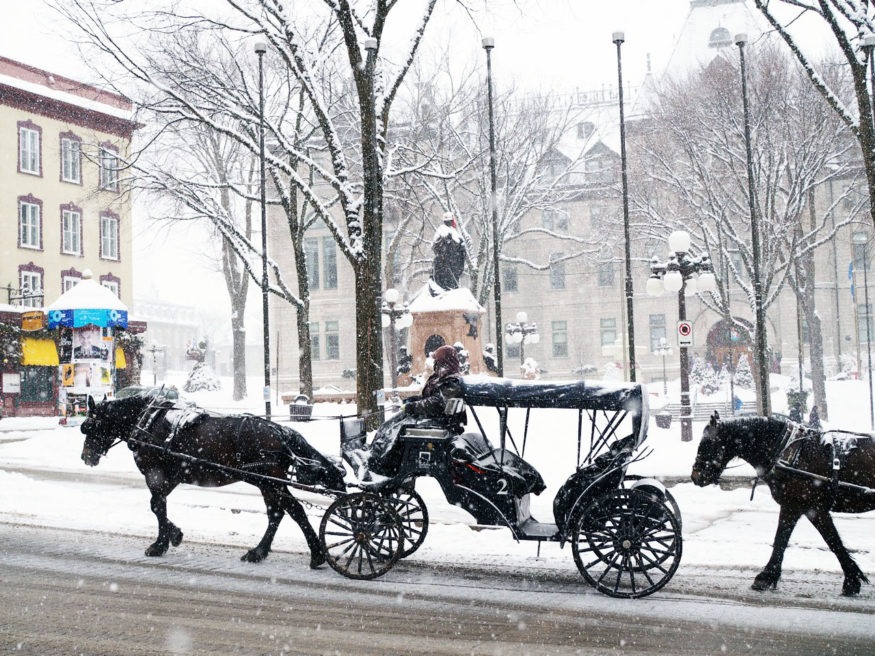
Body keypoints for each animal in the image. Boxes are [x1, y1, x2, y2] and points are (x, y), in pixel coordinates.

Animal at [80, 390, 344, 568]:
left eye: (89, 426)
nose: (86, 457)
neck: (149, 421)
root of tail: (280, 431)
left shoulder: (155, 473)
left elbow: (156, 505)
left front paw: (163, 542)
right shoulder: (170, 476)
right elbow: (159, 505)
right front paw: (171, 536)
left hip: (269, 480)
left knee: (293, 510)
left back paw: (313, 554)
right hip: (267, 482)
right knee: (278, 513)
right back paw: (261, 552)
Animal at [696, 412, 872, 596]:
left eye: (707, 443)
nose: (695, 475)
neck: (789, 452)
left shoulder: (801, 507)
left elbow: (792, 540)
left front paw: (764, 578)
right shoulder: (804, 508)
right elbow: (822, 541)